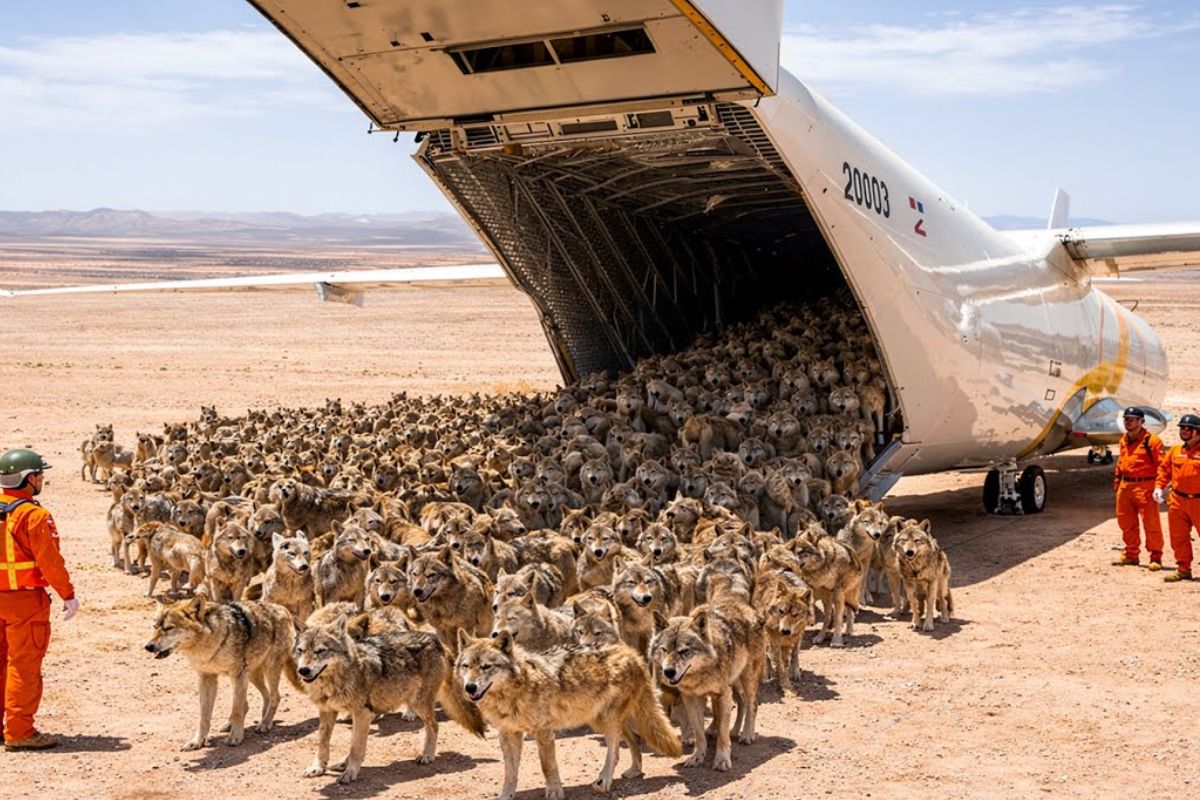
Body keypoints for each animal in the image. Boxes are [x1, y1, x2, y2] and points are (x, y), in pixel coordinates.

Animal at [144, 596, 294, 751]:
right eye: (154, 627)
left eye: (169, 628)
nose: (148, 647)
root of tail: (283, 609)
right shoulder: (206, 679)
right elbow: (204, 716)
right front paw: (197, 741)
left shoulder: (238, 675)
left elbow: (237, 710)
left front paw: (235, 737)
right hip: (251, 675)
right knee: (262, 697)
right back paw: (250, 722)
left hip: (268, 670)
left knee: (275, 697)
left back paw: (264, 724)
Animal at [295, 616, 485, 784]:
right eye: (301, 650)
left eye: (321, 651)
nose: (303, 670)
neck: (336, 680)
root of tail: (436, 640)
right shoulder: (328, 711)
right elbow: (323, 743)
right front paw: (318, 768)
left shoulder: (362, 713)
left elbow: (355, 748)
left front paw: (350, 773)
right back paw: (342, 763)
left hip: (418, 703)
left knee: (434, 726)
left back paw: (427, 755)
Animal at [456, 631, 682, 800]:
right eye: (466, 666)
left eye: (486, 666)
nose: (470, 687)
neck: (513, 692)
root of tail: (632, 654)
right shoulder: (508, 734)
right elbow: (509, 773)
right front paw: (505, 796)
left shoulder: (543, 732)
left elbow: (547, 766)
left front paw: (555, 792)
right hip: (601, 720)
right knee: (634, 740)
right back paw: (634, 771)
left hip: (608, 722)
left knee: (615, 751)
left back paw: (603, 781)